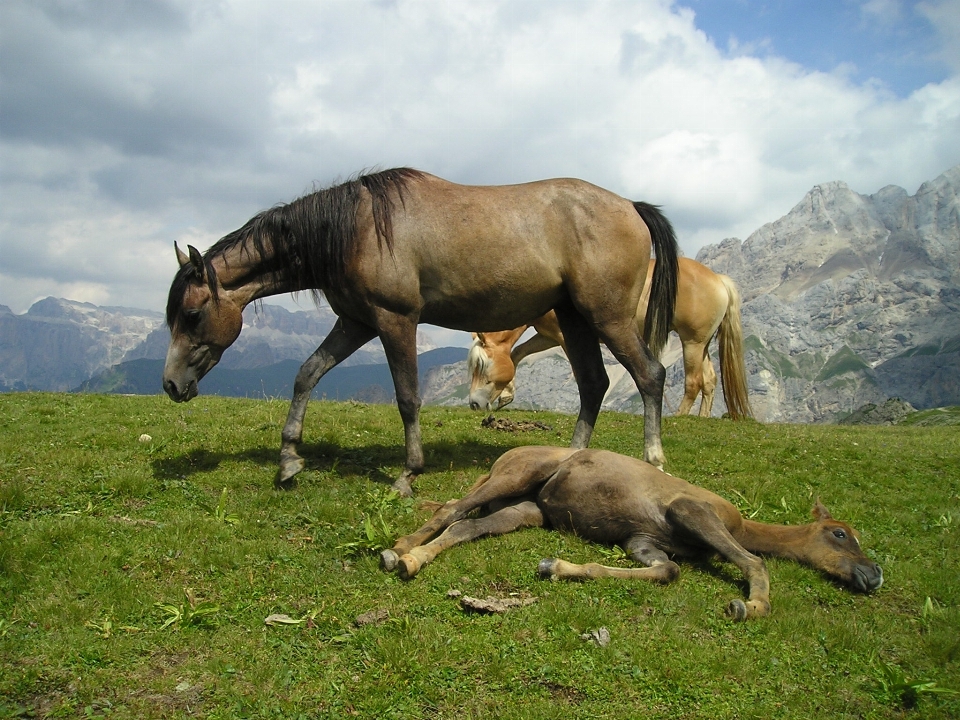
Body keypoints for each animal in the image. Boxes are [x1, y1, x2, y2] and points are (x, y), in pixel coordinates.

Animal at [161, 169, 680, 496]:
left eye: (191, 313)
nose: (170, 384)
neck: (358, 229)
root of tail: (631, 206)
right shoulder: (356, 323)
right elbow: (307, 373)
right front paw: (289, 458)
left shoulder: (396, 321)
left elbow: (408, 397)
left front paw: (408, 474)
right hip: (574, 319)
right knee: (594, 383)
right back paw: (566, 460)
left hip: (606, 317)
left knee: (649, 375)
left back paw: (654, 457)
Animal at [378, 444, 880, 620]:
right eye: (840, 534)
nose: (873, 574)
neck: (739, 522)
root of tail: (505, 455)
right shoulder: (690, 510)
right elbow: (753, 560)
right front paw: (752, 605)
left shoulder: (642, 542)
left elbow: (666, 572)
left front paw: (556, 566)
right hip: (516, 477)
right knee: (452, 508)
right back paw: (399, 550)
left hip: (525, 510)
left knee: (468, 524)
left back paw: (412, 558)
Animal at [468, 256, 752, 420]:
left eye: (481, 365)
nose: (473, 403)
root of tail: (719, 279)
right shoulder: (547, 336)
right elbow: (517, 354)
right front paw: (506, 395)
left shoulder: (563, 337)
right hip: (701, 343)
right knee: (710, 380)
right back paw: (701, 418)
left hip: (691, 342)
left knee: (693, 382)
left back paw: (678, 417)